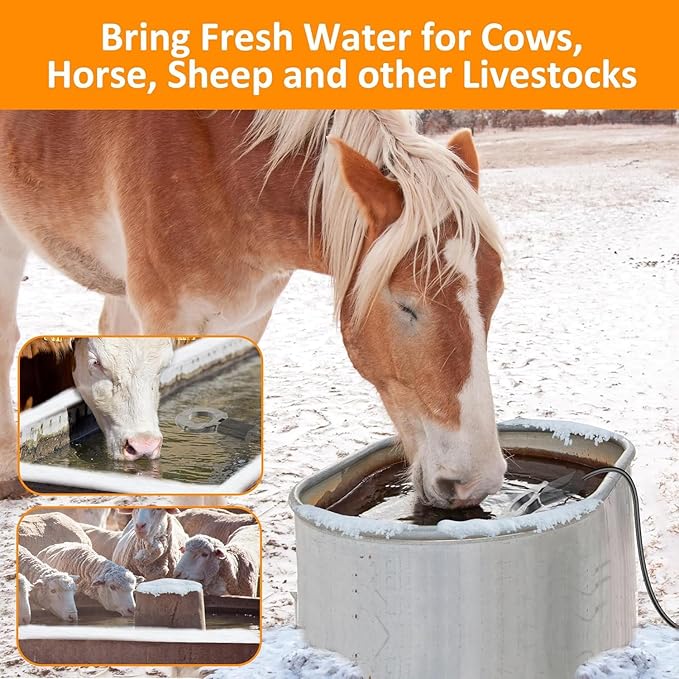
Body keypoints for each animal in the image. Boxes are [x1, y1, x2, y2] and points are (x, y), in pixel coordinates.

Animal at [0, 110, 505, 506]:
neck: (227, 163)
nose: (474, 482)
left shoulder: (248, 316)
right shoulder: (169, 315)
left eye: (495, 298)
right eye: (405, 305)